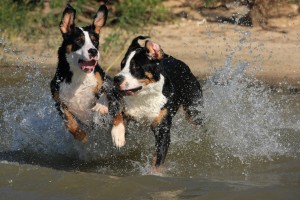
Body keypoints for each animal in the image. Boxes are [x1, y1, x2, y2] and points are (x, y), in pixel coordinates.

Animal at [111, 36, 203, 172]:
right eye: (122, 65)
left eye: (136, 67)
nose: (116, 79)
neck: (144, 96)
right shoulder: (119, 100)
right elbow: (118, 113)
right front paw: (117, 135)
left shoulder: (162, 129)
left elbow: (158, 159)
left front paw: (155, 173)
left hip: (194, 110)